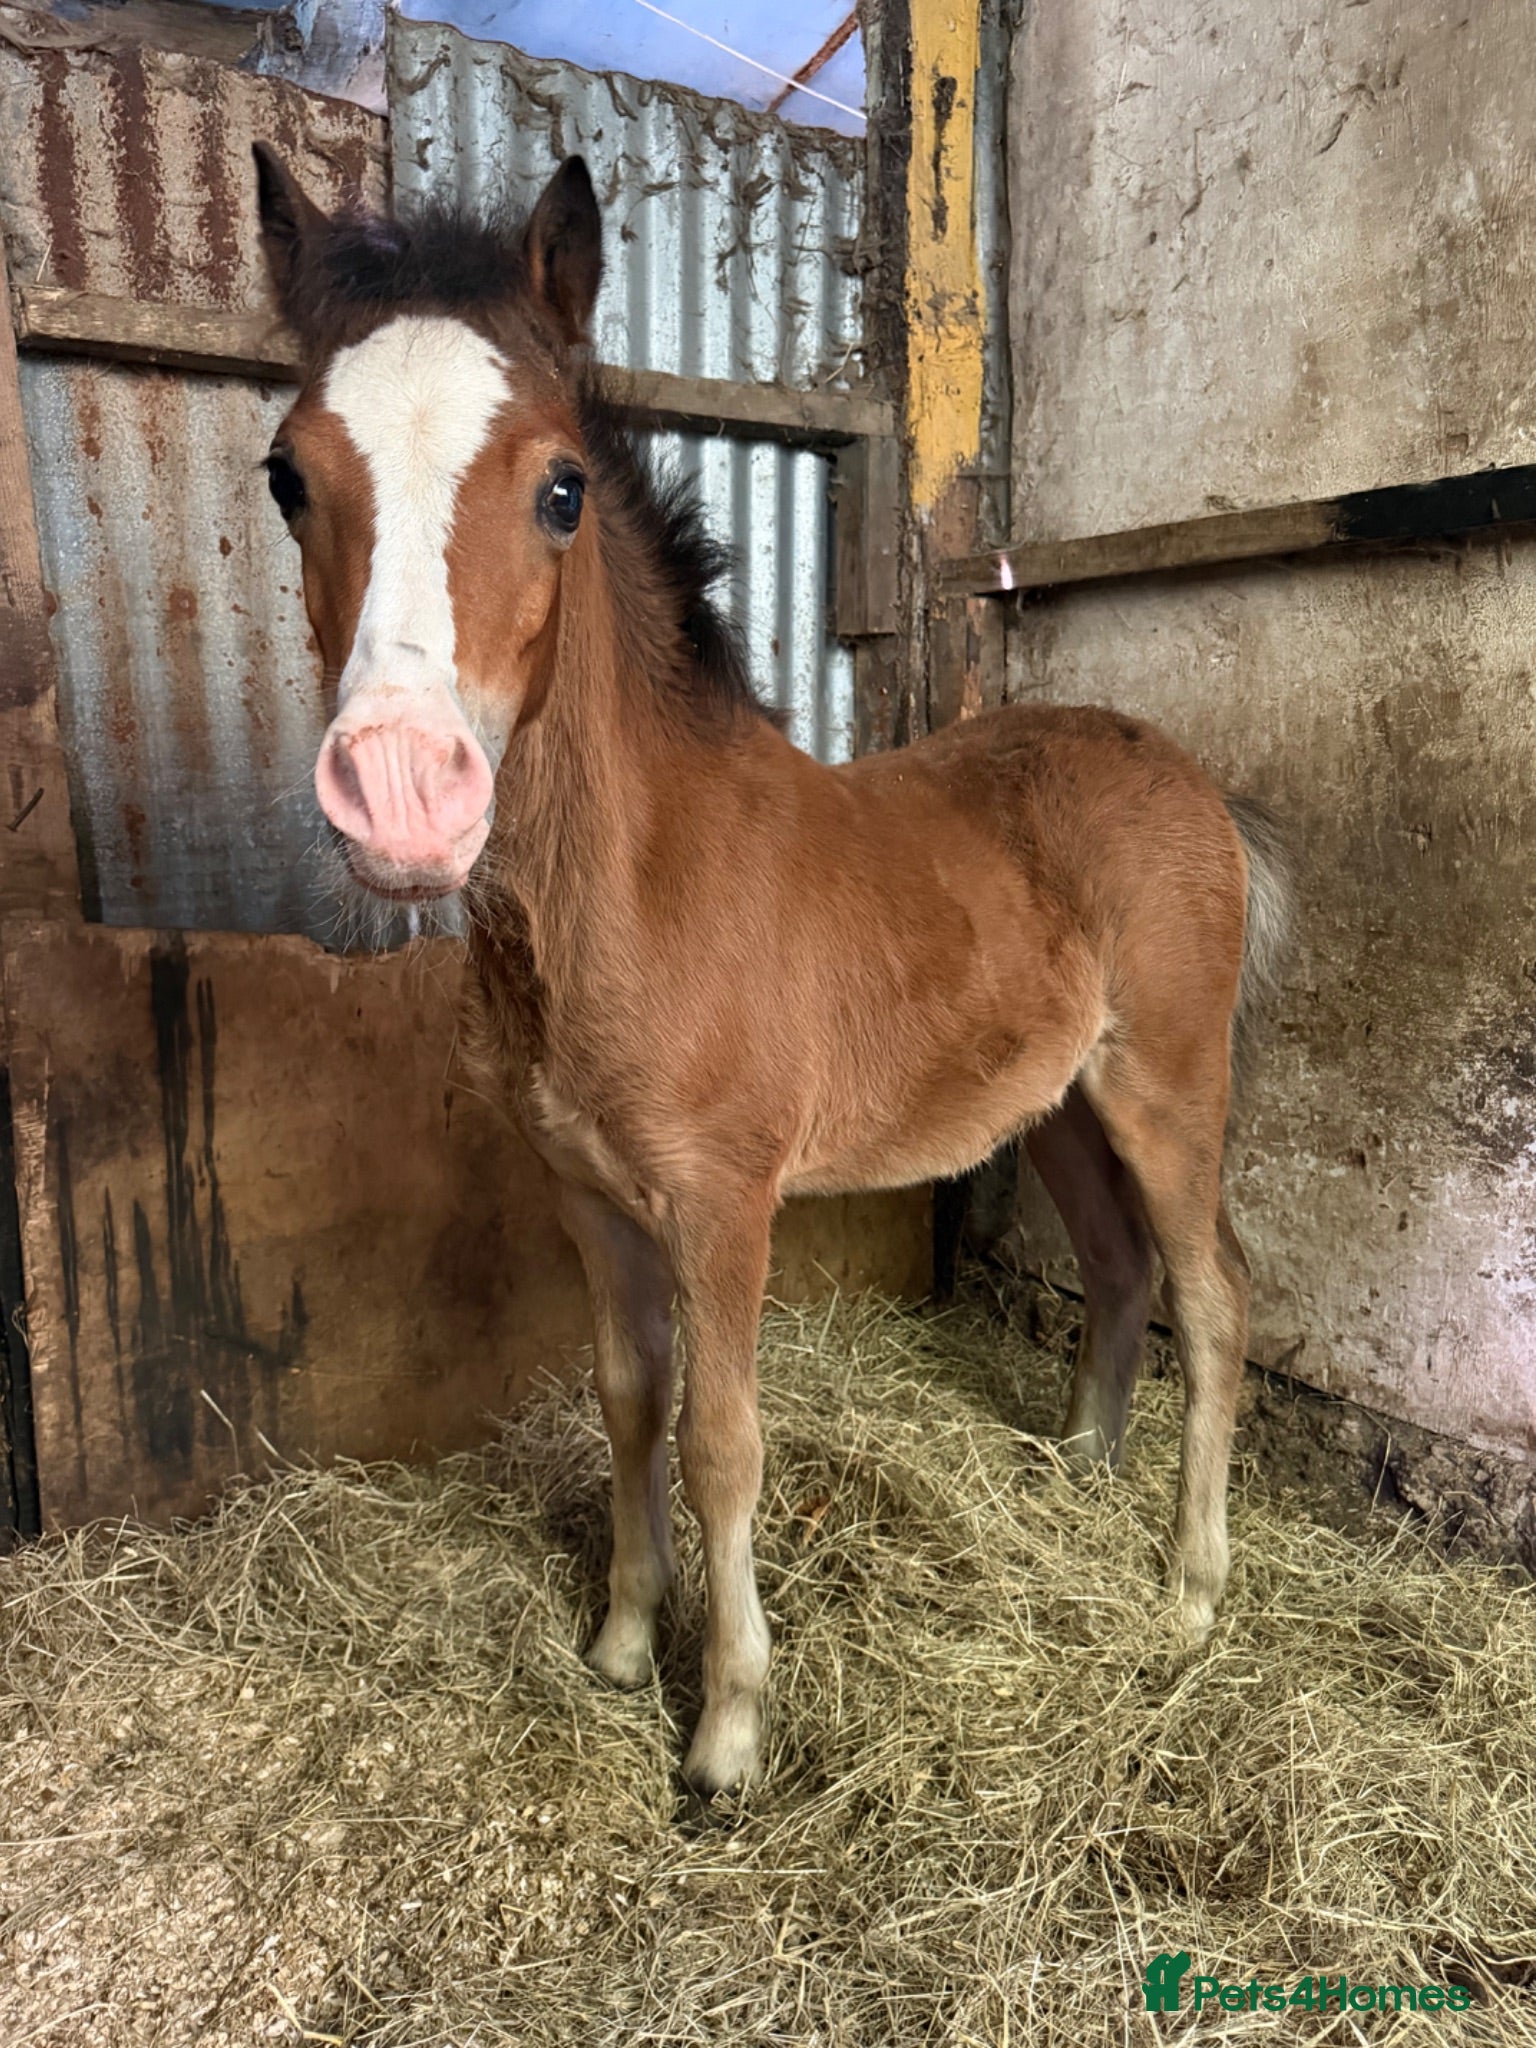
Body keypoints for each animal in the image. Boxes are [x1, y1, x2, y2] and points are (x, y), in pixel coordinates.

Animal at [251, 146, 1291, 1795]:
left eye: (559, 489)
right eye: (288, 479)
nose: (404, 794)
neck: (630, 893)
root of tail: (1195, 783)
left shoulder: (722, 1202)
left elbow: (724, 1439)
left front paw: (728, 1726)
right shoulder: (592, 1198)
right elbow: (631, 1402)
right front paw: (620, 1644)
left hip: (1168, 1089)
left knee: (1215, 1295)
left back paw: (1190, 1591)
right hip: (1056, 1104)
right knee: (1124, 1268)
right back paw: (1075, 1475)